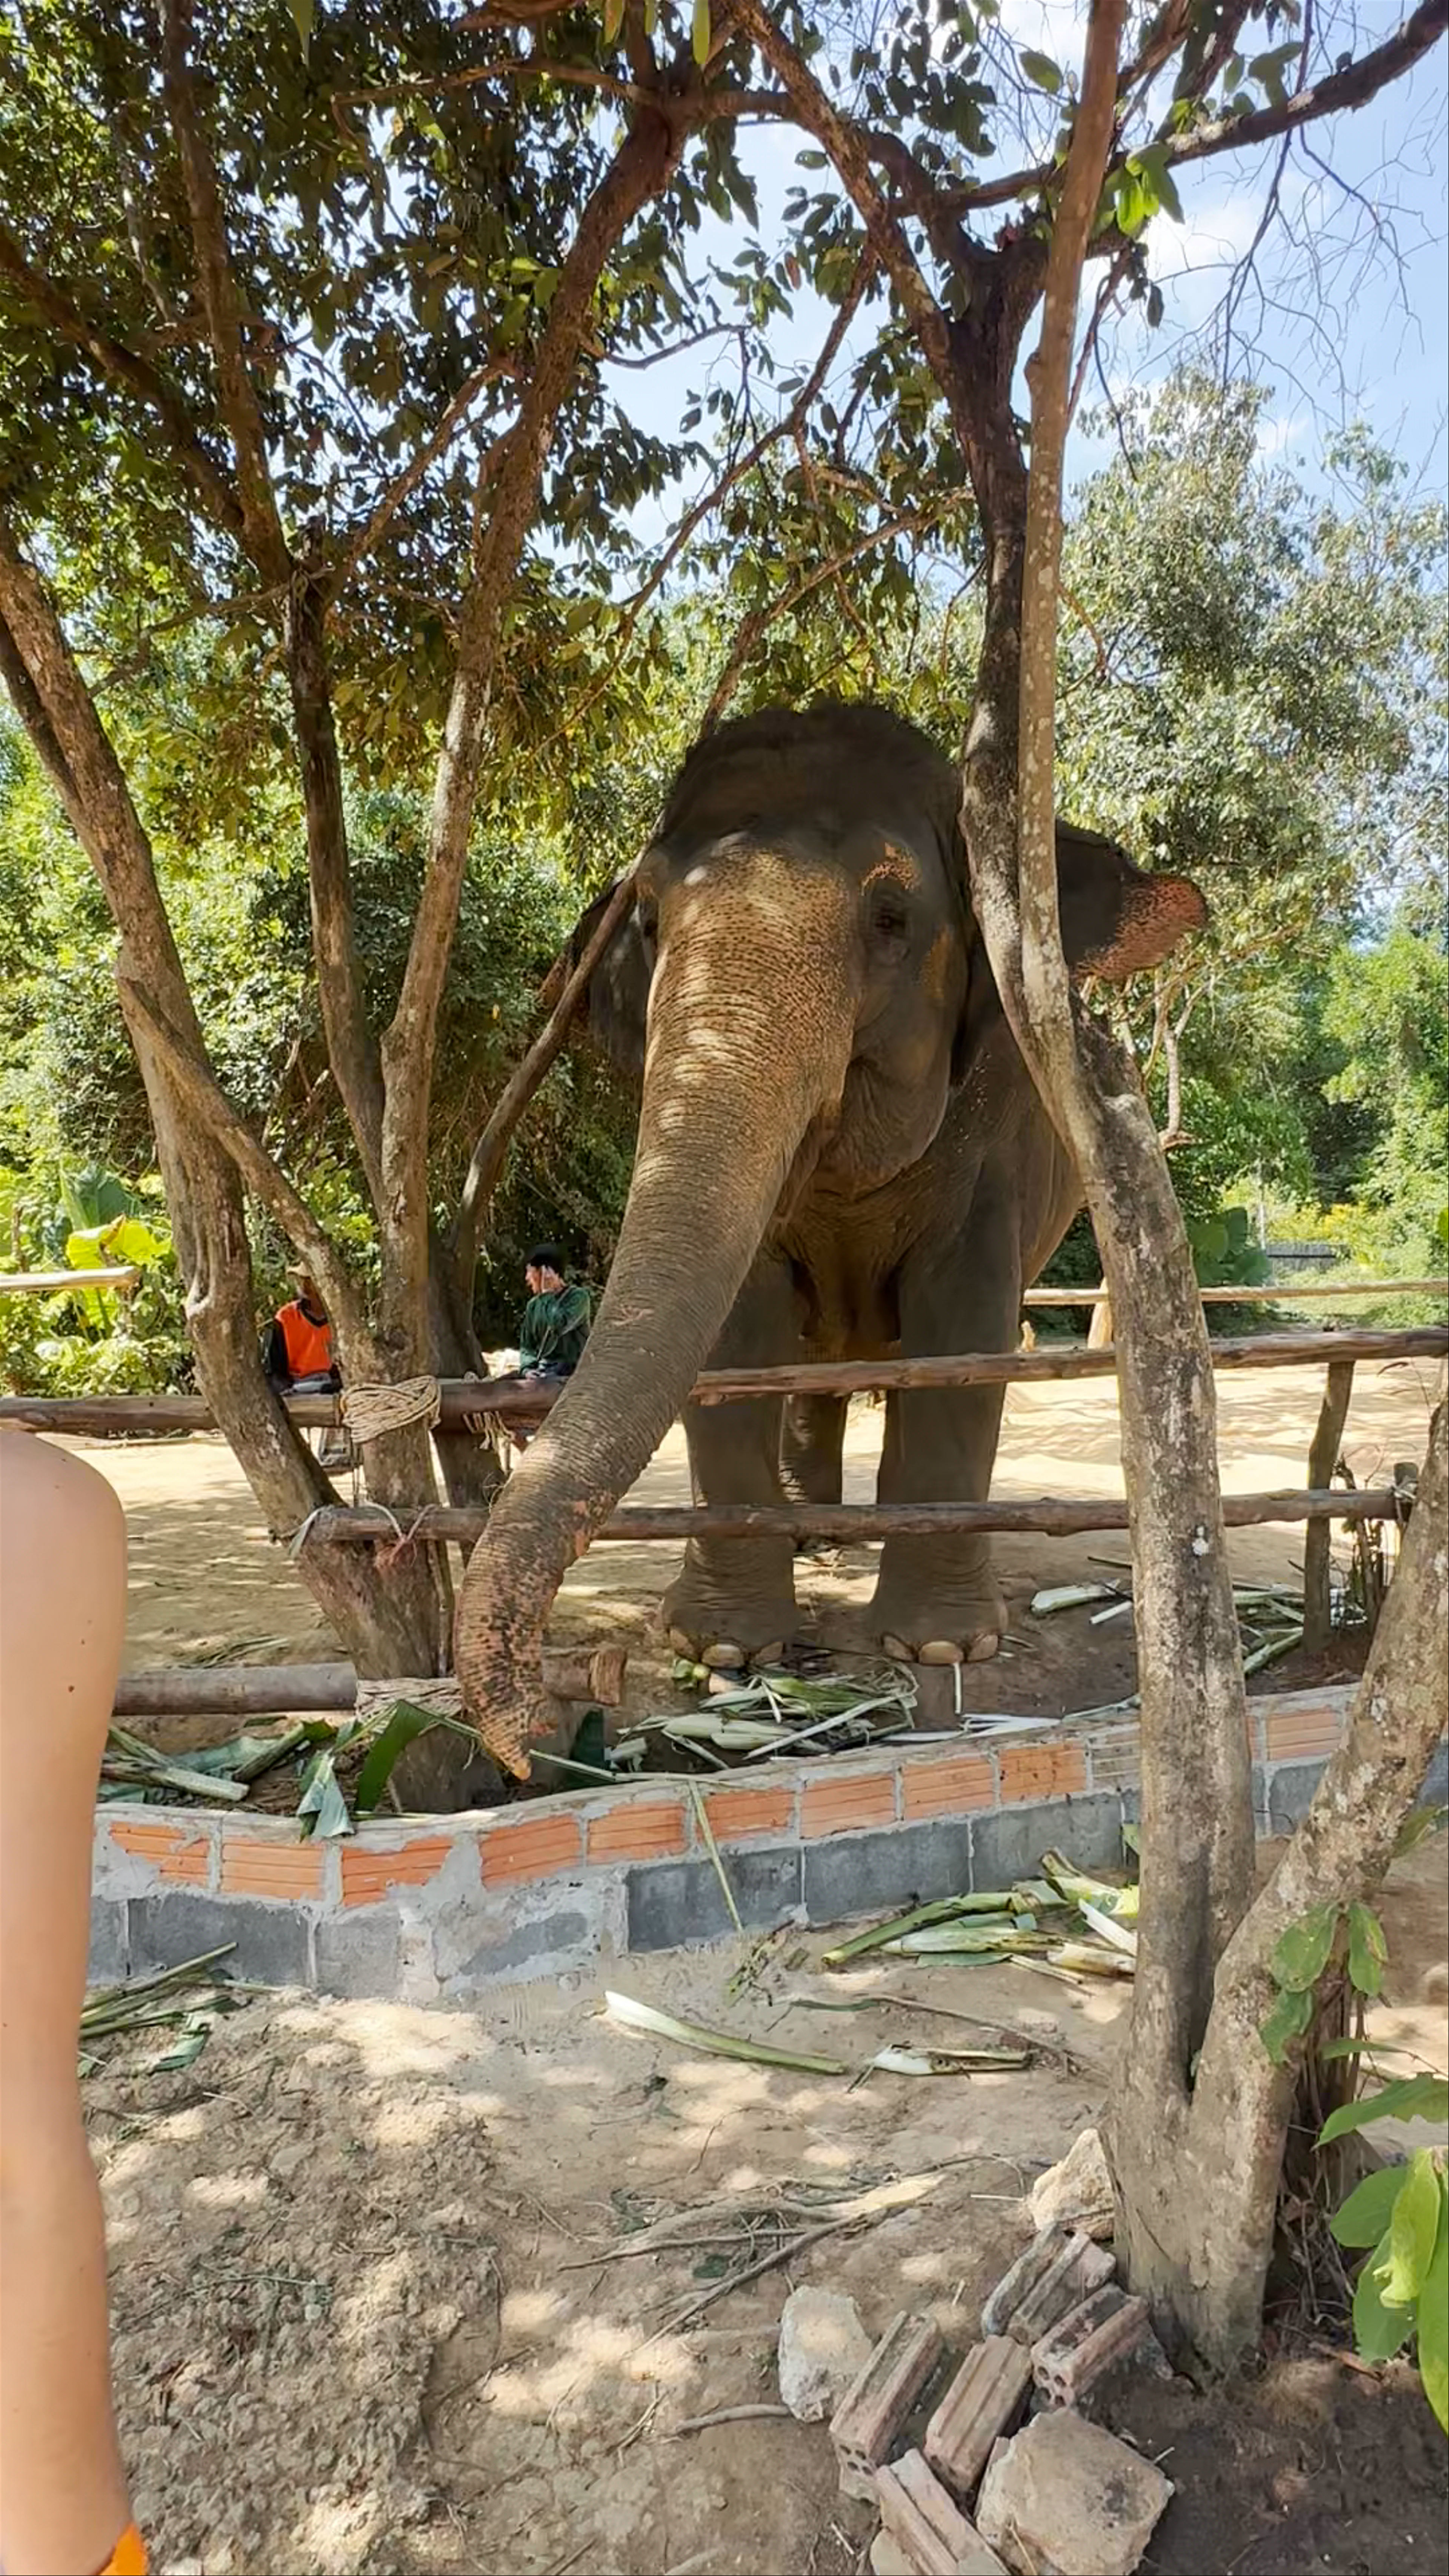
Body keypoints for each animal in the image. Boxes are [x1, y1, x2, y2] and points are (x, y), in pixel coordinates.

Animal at [455, 702, 1206, 1774]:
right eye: (646, 920)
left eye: (892, 919)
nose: (550, 1716)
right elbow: (737, 1333)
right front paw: (724, 1648)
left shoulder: (1000, 1133)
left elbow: (964, 1329)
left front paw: (940, 1647)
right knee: (813, 1364)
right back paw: (813, 1534)